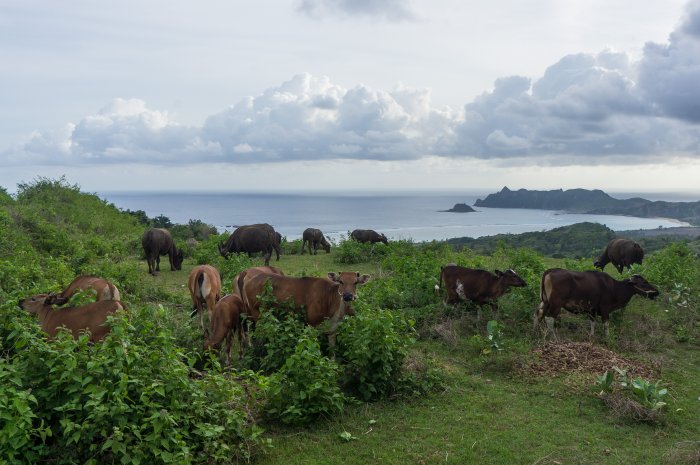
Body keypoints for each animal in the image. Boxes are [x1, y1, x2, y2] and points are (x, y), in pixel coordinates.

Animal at [242, 268, 372, 344]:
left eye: (356, 282)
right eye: (340, 281)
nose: (348, 296)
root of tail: (249, 279)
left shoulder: (333, 329)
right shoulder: (311, 323)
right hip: (256, 311)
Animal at [532, 266, 660, 338]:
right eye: (644, 283)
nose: (657, 292)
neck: (614, 287)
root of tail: (551, 270)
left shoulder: (591, 310)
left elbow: (592, 322)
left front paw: (592, 336)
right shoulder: (605, 309)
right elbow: (606, 324)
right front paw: (608, 338)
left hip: (544, 301)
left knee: (538, 313)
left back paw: (536, 332)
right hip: (556, 304)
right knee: (549, 318)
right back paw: (553, 337)